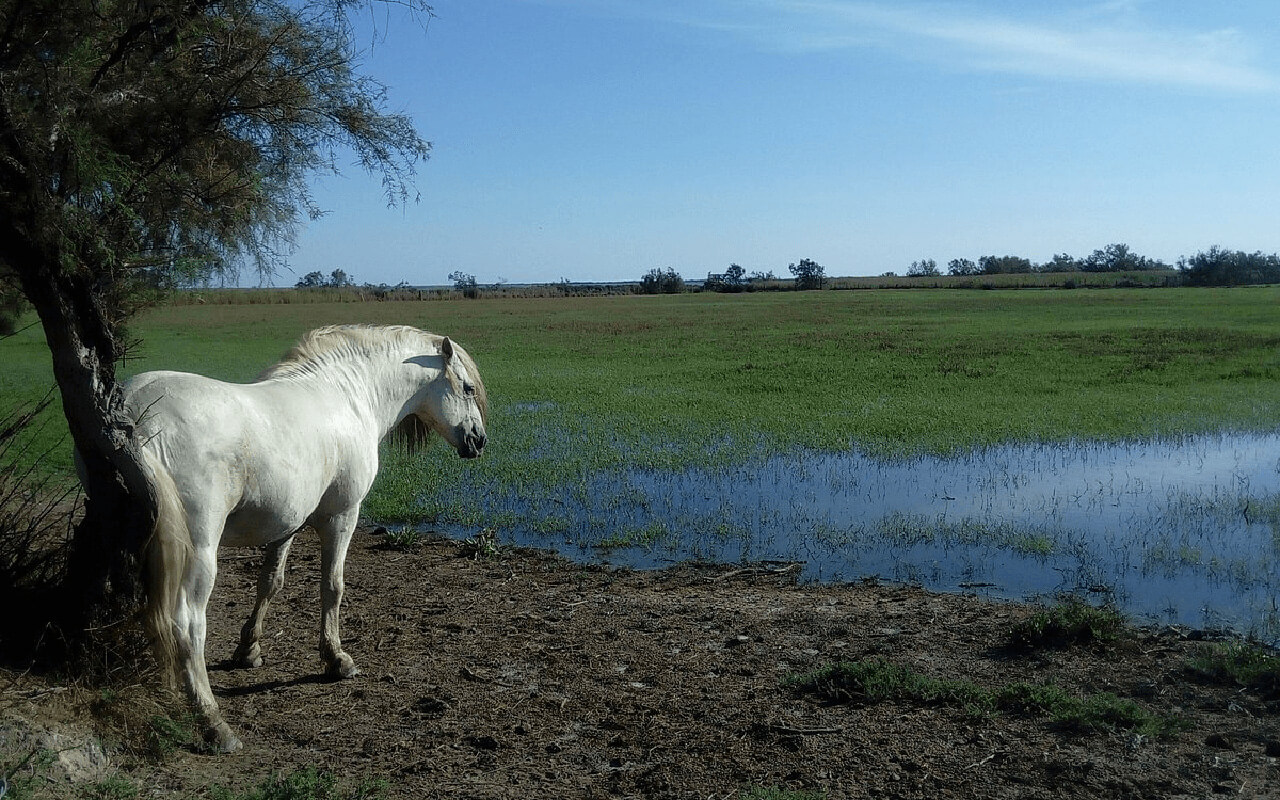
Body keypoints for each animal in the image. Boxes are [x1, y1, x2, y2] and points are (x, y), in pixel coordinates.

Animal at [119, 322, 483, 747]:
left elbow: (270, 582)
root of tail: (136, 413)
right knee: (187, 624)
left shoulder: (286, 523)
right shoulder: (342, 515)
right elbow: (332, 586)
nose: (478, 440)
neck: (347, 392)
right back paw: (213, 723)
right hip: (198, 551)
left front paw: (249, 649)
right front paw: (336, 659)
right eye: (468, 388)